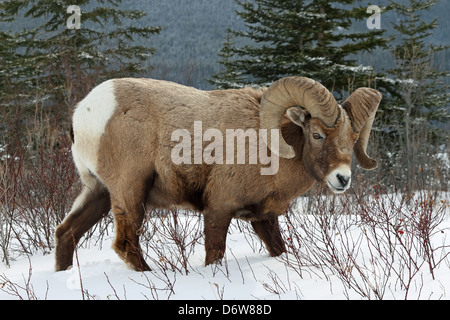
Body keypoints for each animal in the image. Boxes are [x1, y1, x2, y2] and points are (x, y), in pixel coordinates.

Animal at [54, 76, 382, 272]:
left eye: (353, 138)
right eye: (316, 134)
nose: (342, 178)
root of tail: (84, 113)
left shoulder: (264, 218)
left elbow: (278, 249)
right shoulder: (219, 210)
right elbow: (215, 253)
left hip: (98, 191)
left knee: (66, 232)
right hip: (130, 191)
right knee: (125, 244)